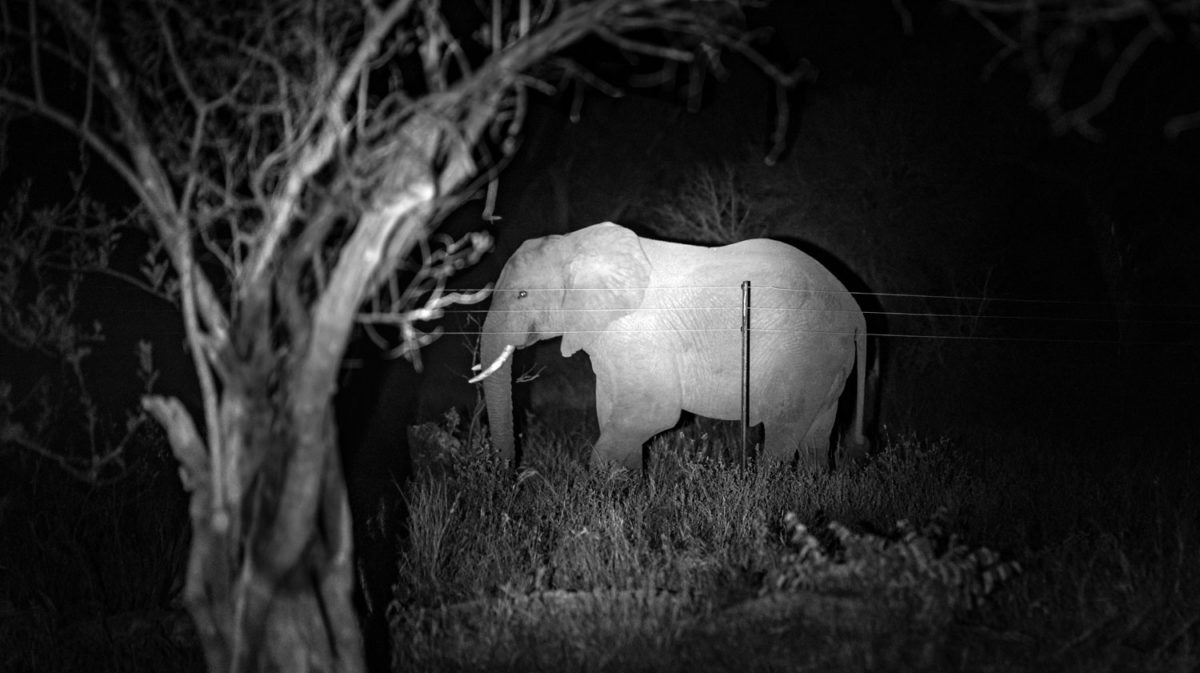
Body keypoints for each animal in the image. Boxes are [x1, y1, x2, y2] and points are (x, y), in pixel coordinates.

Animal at [472, 222, 868, 471]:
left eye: (522, 295)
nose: (513, 476)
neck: (576, 245)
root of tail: (855, 309)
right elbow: (613, 408)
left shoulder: (640, 334)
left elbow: (655, 412)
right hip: (827, 363)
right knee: (817, 435)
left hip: (805, 352)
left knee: (782, 430)